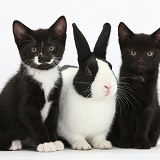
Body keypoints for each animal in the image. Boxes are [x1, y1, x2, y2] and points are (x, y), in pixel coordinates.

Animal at [0, 16, 66, 152]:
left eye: (51, 48)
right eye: (33, 49)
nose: (43, 57)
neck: (44, 75)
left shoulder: (55, 102)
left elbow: (52, 122)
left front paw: (54, 141)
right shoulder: (26, 104)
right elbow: (36, 124)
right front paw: (45, 143)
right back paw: (13, 143)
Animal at [57, 22, 117, 150]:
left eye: (110, 66)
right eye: (88, 71)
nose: (108, 86)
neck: (94, 100)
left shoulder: (100, 131)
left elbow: (97, 138)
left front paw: (103, 144)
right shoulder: (67, 129)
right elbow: (75, 137)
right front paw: (82, 145)